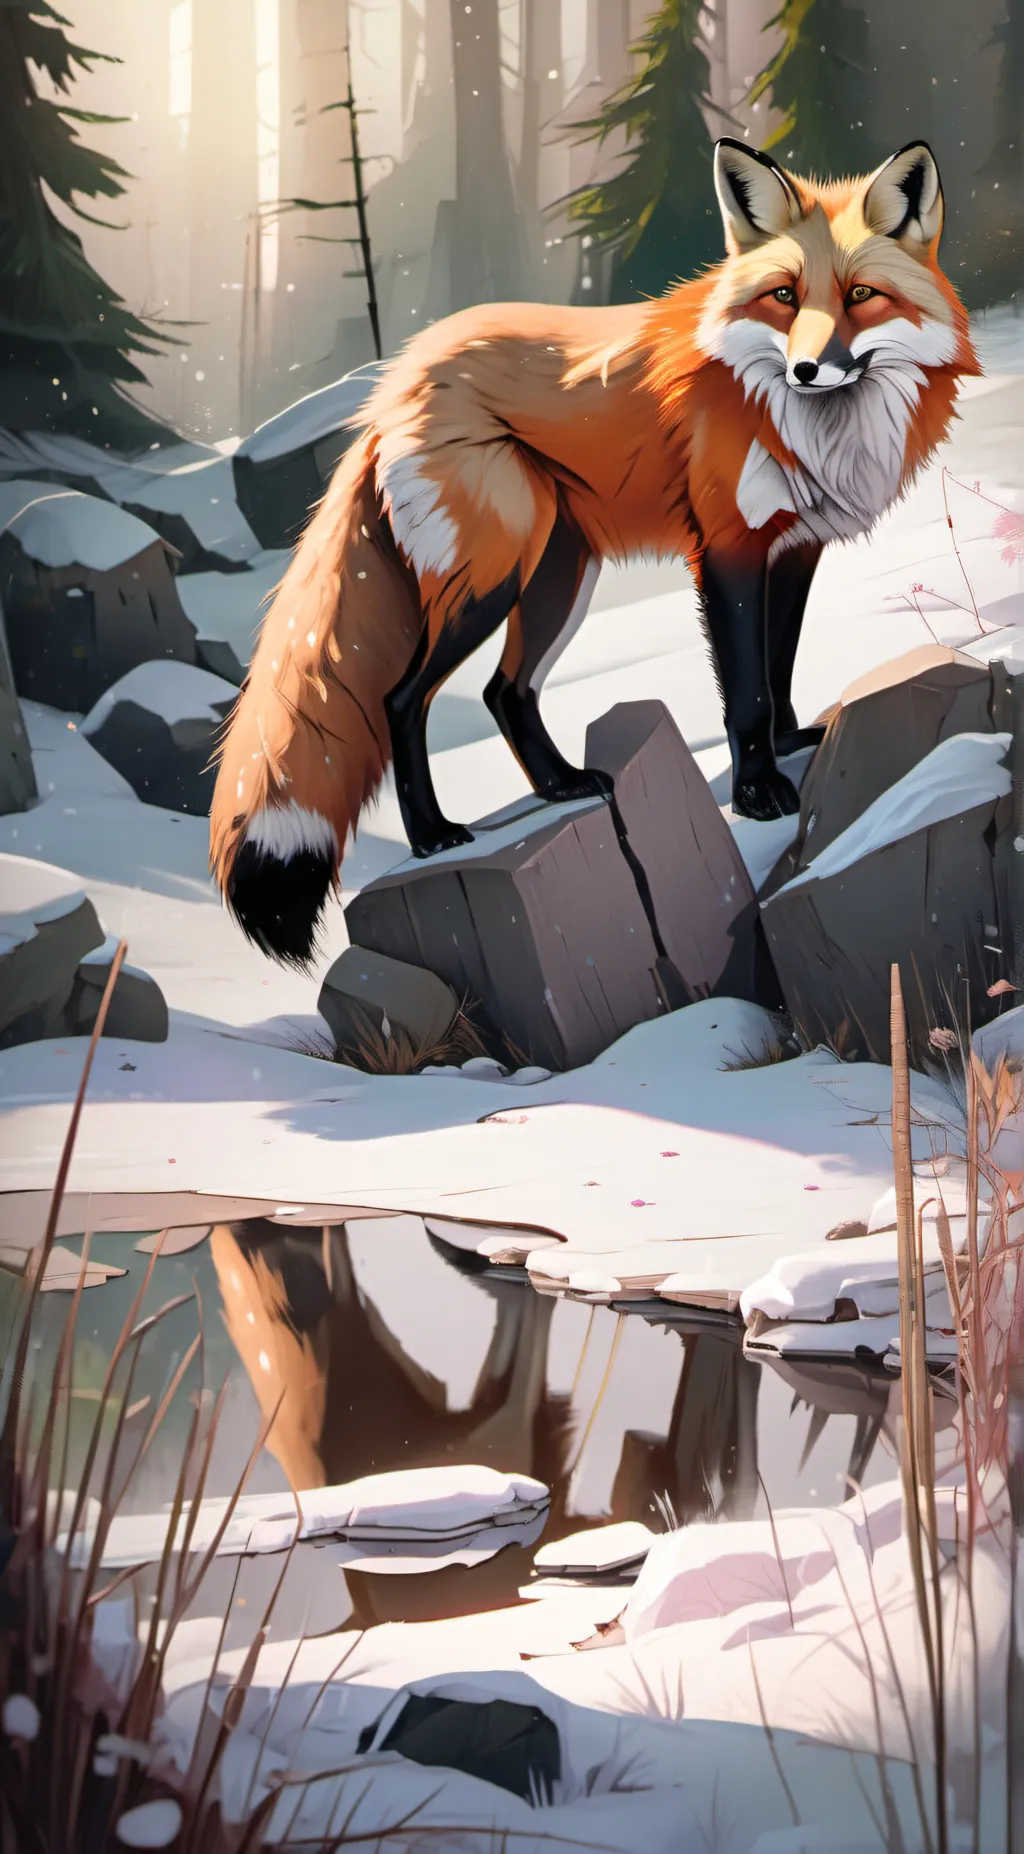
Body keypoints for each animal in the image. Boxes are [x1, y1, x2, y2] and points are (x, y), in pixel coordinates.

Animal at [210, 136, 980, 967]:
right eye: (782, 296)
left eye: (862, 294)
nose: (807, 369)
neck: (806, 425)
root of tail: (391, 388)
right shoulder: (728, 549)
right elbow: (745, 690)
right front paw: (757, 795)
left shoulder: (795, 549)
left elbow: (777, 669)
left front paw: (789, 743)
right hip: (492, 579)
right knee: (401, 699)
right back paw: (433, 836)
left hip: (556, 578)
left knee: (504, 692)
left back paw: (561, 785)